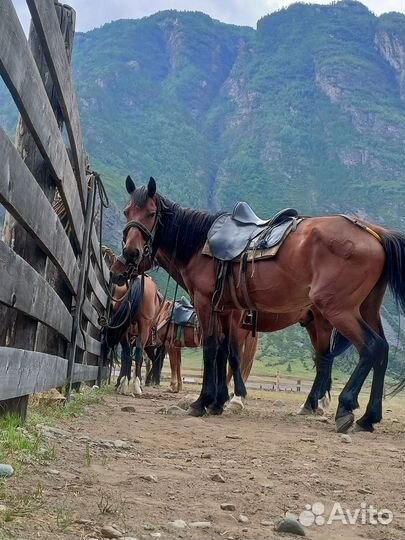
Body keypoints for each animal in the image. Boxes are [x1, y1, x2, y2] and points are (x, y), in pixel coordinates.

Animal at [111, 179, 404, 432]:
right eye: (126, 211)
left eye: (151, 213)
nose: (127, 256)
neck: (200, 246)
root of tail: (376, 233)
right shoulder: (227, 309)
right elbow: (225, 352)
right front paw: (219, 401)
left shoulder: (206, 304)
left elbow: (212, 350)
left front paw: (203, 402)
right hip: (364, 309)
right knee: (379, 350)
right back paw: (368, 417)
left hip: (337, 310)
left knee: (369, 348)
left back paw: (344, 407)